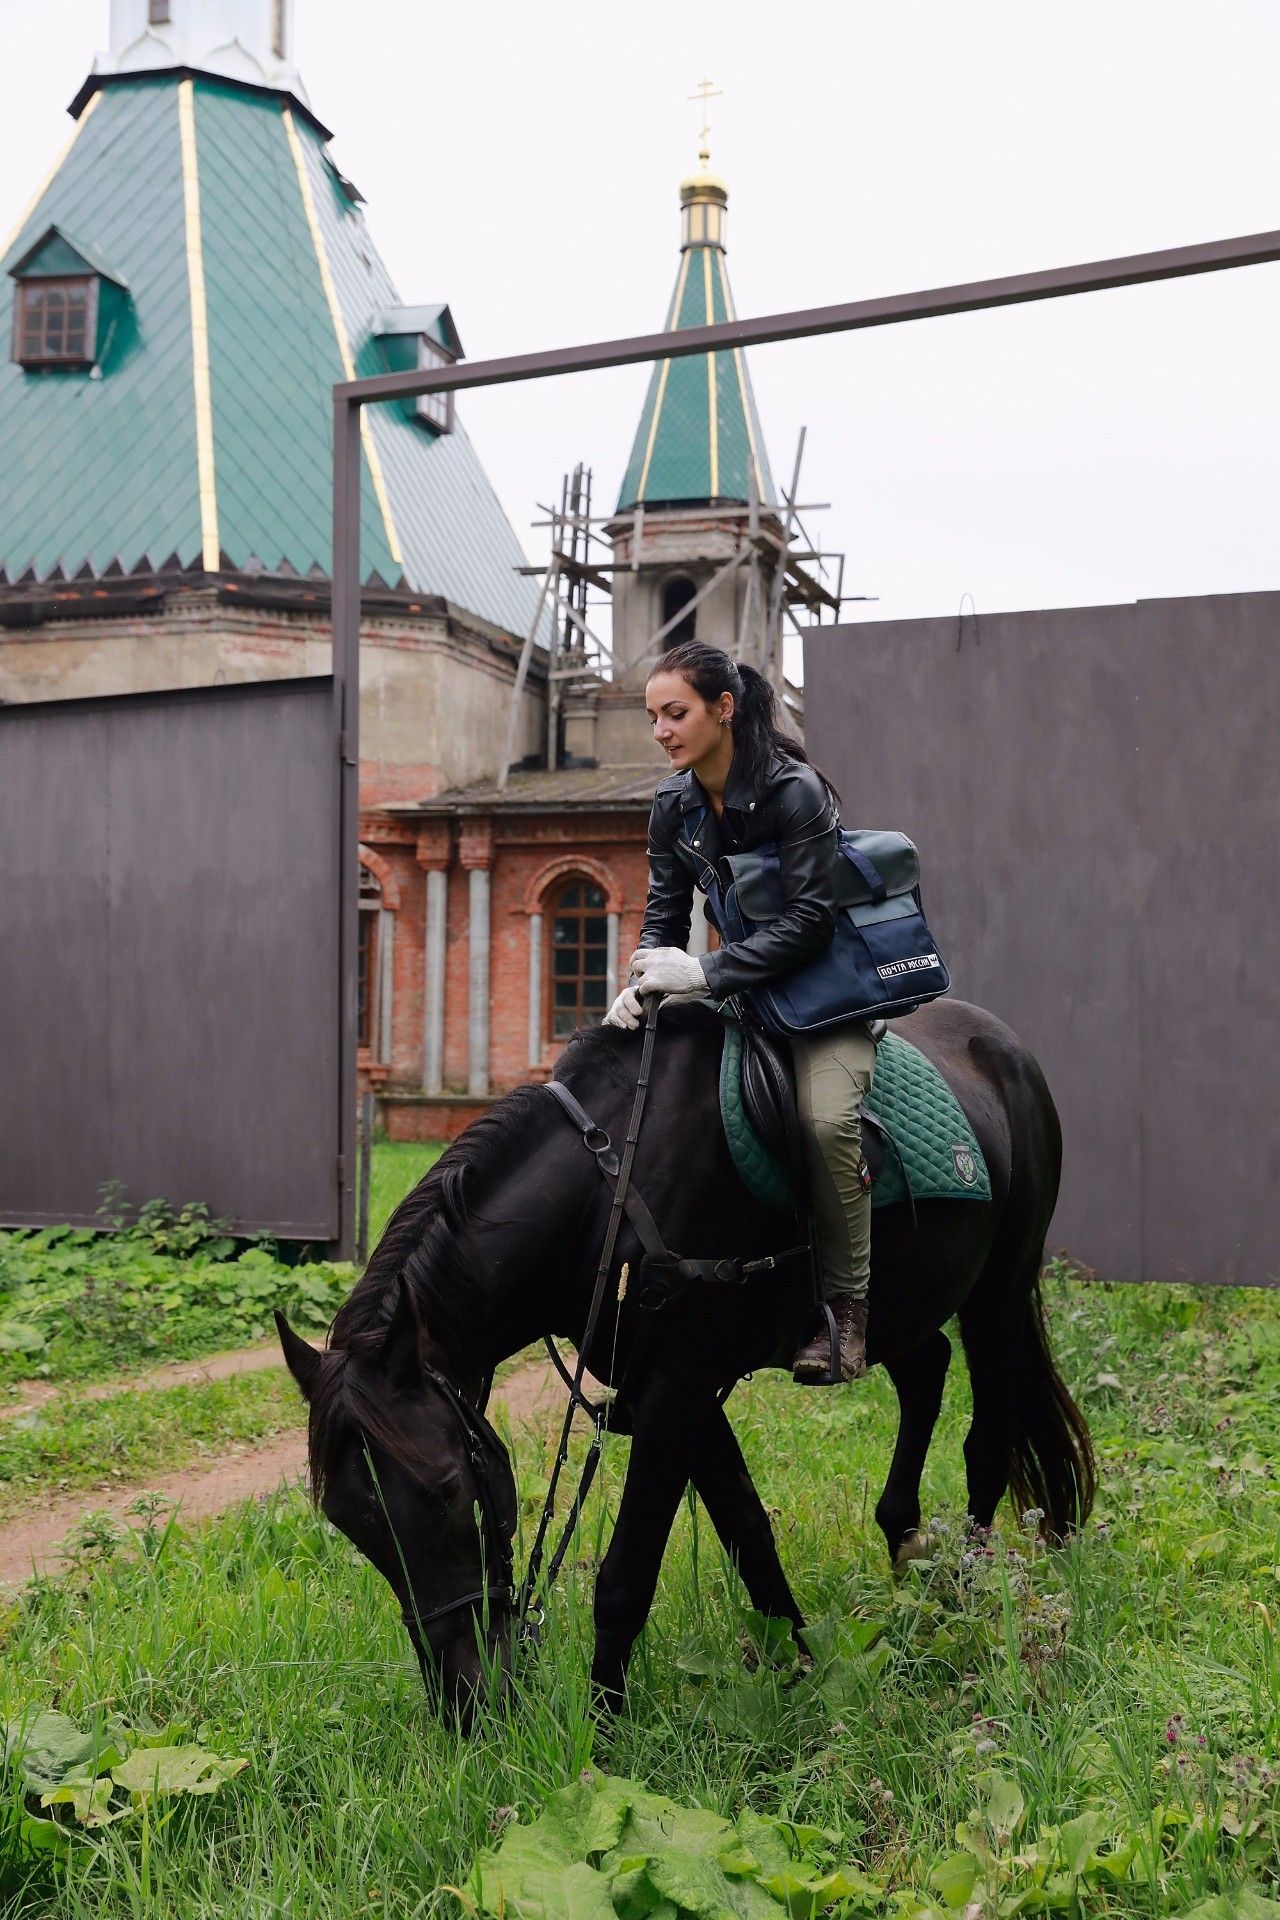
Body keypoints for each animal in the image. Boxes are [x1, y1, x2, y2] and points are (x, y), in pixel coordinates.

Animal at [278, 998, 1090, 1720]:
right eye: (348, 1520)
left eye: (445, 1489)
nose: (465, 1700)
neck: (613, 1189)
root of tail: (1006, 1049)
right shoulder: (674, 1394)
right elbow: (748, 1533)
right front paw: (804, 1667)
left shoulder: (678, 1388)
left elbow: (627, 1576)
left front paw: (605, 1733)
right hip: (904, 1304)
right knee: (926, 1371)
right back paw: (904, 1547)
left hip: (999, 1292)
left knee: (987, 1443)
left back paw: (970, 1595)